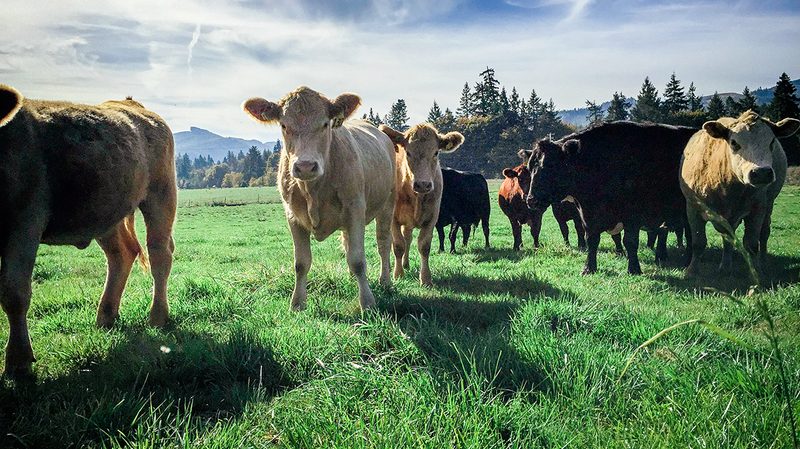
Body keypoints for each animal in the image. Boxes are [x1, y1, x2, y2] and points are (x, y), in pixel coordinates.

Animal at [0, 85, 177, 377]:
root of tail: (133, 106)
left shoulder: (25, 222)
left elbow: (14, 292)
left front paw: (18, 361)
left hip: (160, 196)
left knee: (159, 254)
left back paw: (157, 317)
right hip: (106, 212)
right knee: (122, 254)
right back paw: (106, 317)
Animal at [243, 86, 395, 310]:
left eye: (325, 124)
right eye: (284, 125)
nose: (305, 166)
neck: (313, 191)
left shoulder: (355, 209)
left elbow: (358, 260)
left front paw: (367, 303)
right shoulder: (293, 216)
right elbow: (301, 263)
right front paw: (297, 304)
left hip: (387, 205)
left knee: (383, 242)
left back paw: (385, 280)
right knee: (347, 242)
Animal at [379, 124, 464, 286]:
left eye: (436, 152)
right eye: (408, 152)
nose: (423, 184)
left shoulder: (432, 218)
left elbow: (424, 246)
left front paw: (425, 279)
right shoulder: (393, 219)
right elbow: (398, 246)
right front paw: (398, 274)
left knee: (408, 238)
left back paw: (406, 264)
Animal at [524, 121, 698, 275]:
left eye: (551, 165)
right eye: (530, 167)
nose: (531, 199)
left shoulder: (632, 215)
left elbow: (630, 241)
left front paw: (634, 269)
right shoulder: (587, 216)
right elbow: (592, 240)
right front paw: (589, 268)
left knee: (690, 236)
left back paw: (689, 262)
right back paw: (662, 257)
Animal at [680, 110, 800, 276]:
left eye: (771, 142)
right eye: (734, 143)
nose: (761, 173)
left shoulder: (757, 209)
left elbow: (752, 244)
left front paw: (757, 272)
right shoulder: (692, 207)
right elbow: (698, 242)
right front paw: (691, 271)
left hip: (769, 204)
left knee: (764, 233)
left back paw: (763, 262)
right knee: (728, 237)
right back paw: (725, 266)